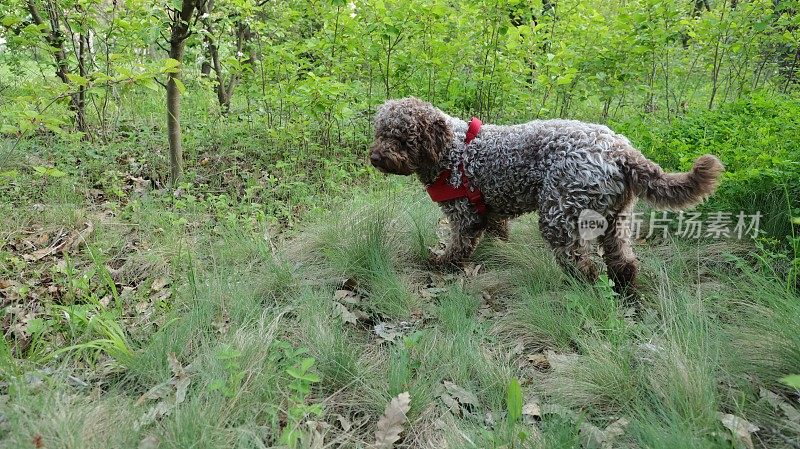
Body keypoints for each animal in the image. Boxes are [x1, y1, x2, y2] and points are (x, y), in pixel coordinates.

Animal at [368, 97, 724, 294]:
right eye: (379, 132)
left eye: (402, 138)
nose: (374, 157)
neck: (451, 151)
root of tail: (620, 150)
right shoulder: (490, 211)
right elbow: (498, 232)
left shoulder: (464, 216)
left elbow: (457, 247)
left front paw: (442, 264)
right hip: (614, 219)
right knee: (623, 264)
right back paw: (625, 295)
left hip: (559, 215)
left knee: (584, 266)